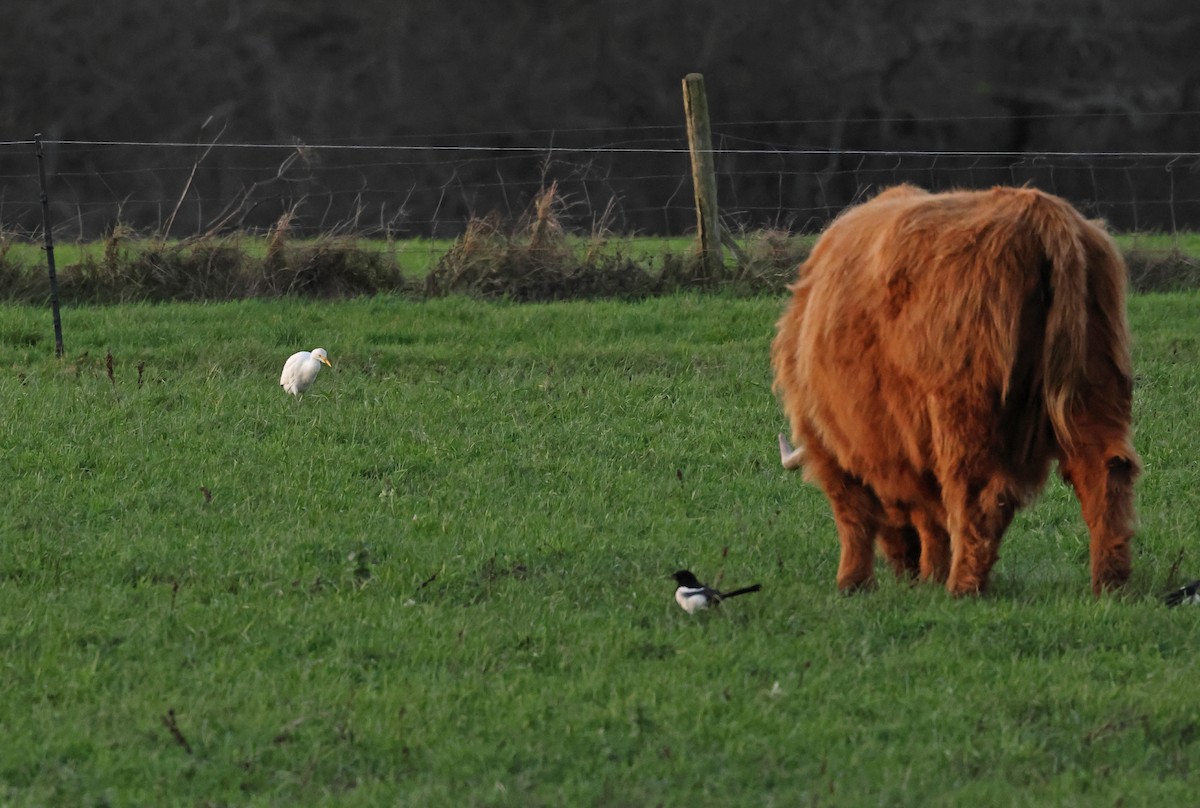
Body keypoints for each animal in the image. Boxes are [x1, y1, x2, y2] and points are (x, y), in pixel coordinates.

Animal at [771, 185, 1138, 597]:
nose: (906, 572)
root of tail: (1039, 211)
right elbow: (930, 516)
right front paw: (929, 573)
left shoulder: (835, 444)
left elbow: (856, 514)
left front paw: (854, 582)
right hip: (1095, 389)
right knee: (1105, 471)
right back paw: (1110, 583)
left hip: (964, 415)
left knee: (977, 495)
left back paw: (961, 587)